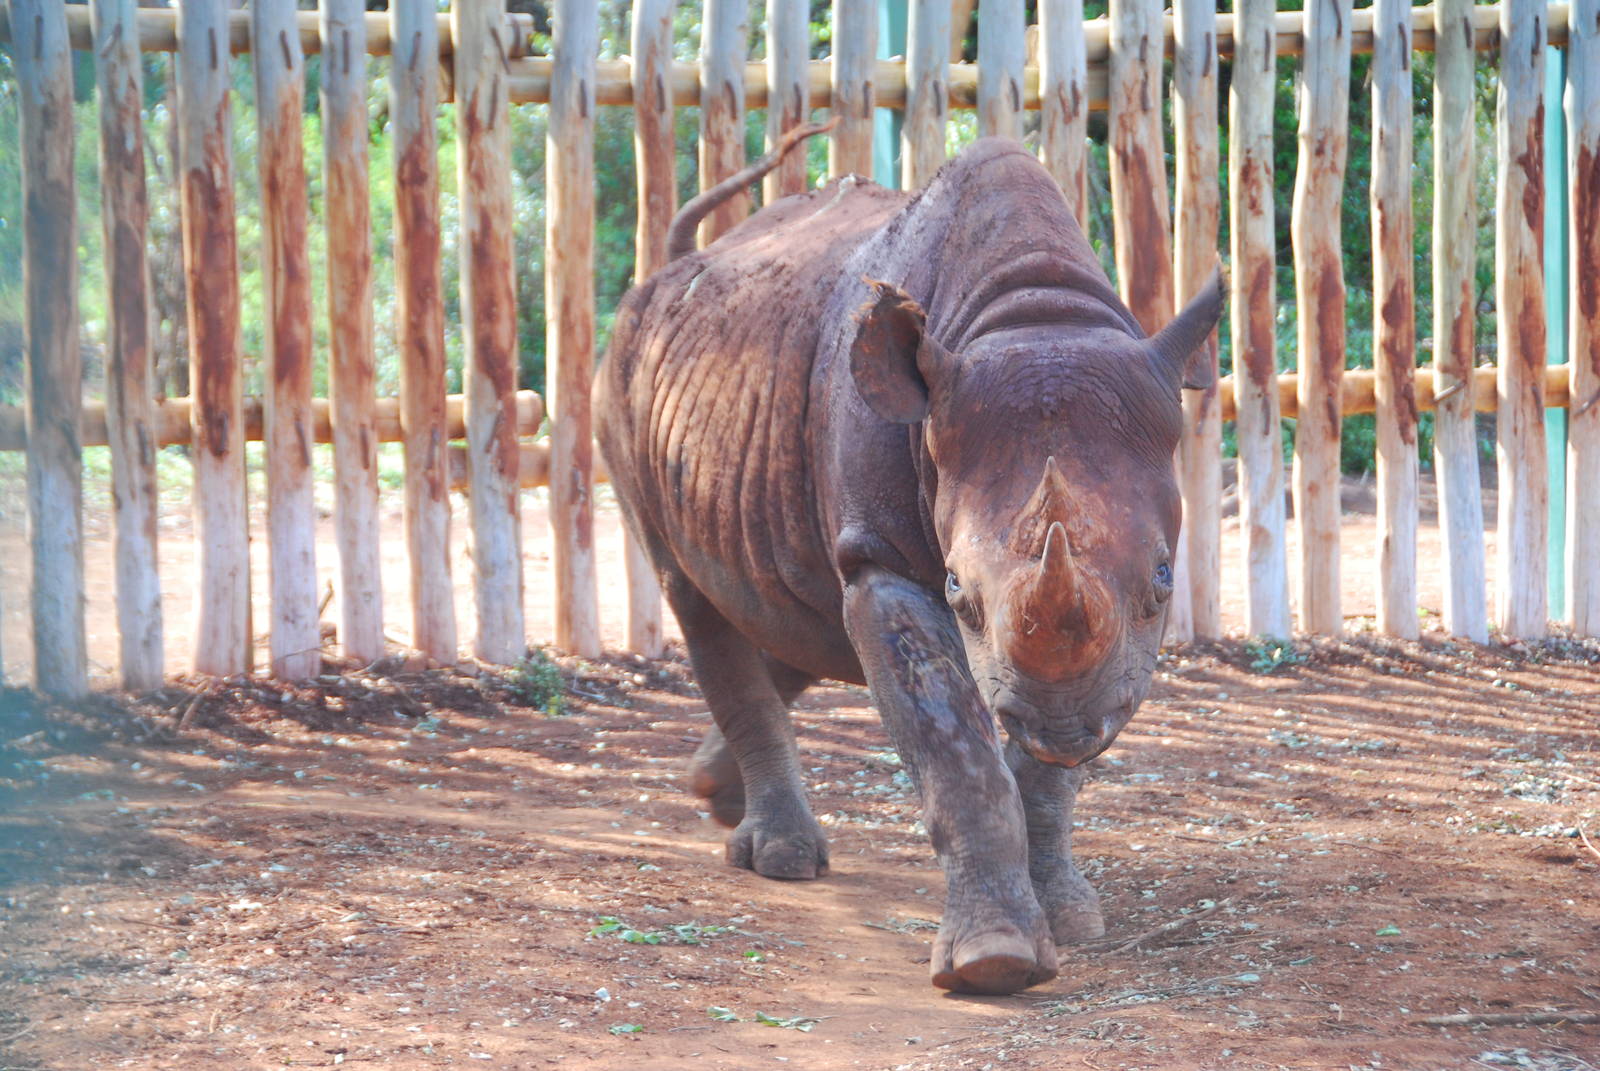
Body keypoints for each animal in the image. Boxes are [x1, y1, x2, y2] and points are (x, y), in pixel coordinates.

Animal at [594, 126, 1223, 995]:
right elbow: (953, 743)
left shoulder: (1104, 658)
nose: (1058, 721)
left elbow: (1050, 767)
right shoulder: (884, 559)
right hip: (620, 383)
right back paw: (781, 856)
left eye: (1164, 580)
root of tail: (669, 271)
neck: (1031, 315)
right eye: (957, 590)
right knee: (693, 594)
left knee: (797, 611)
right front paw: (995, 962)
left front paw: (1069, 918)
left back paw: (717, 794)